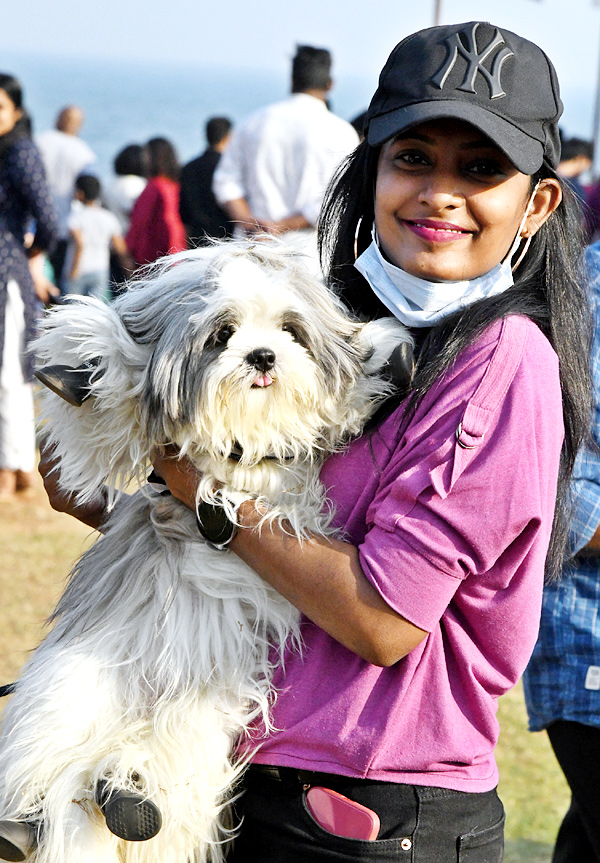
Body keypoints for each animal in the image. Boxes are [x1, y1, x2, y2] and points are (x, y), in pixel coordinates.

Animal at [0, 238, 410, 863]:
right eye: (223, 333)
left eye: (291, 330)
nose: (263, 356)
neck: (242, 437)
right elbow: (119, 383)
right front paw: (84, 365)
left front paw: (386, 355)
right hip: (71, 685)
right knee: (48, 769)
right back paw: (26, 823)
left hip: (197, 720)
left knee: (139, 773)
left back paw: (128, 796)